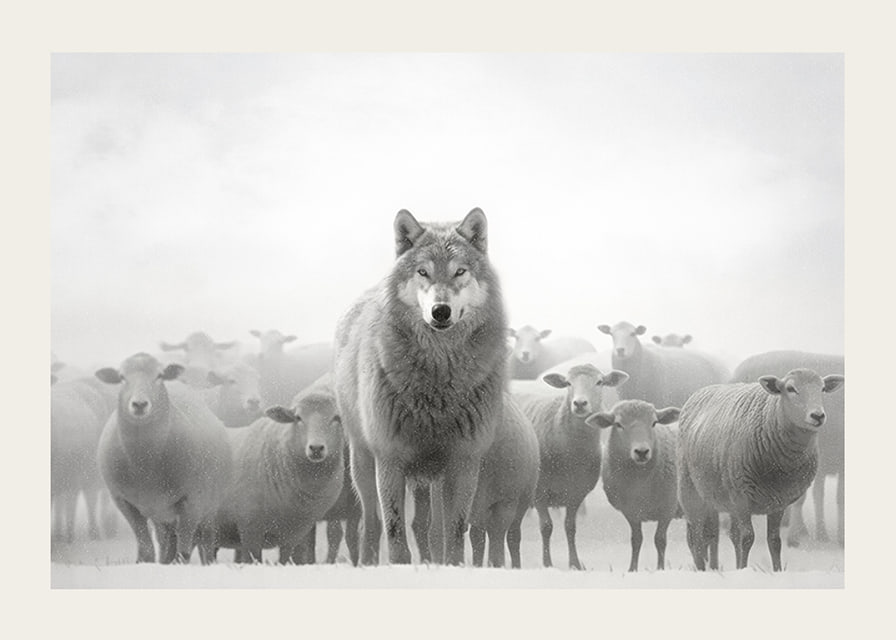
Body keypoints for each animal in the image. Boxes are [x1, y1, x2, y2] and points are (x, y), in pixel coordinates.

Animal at [333, 207, 508, 565]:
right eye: (423, 272)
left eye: (459, 272)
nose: (440, 311)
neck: (438, 382)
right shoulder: (390, 459)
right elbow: (395, 532)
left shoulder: (464, 461)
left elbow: (454, 532)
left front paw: (451, 567)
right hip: (362, 463)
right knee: (370, 524)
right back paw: (367, 563)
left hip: (433, 479)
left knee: (431, 529)